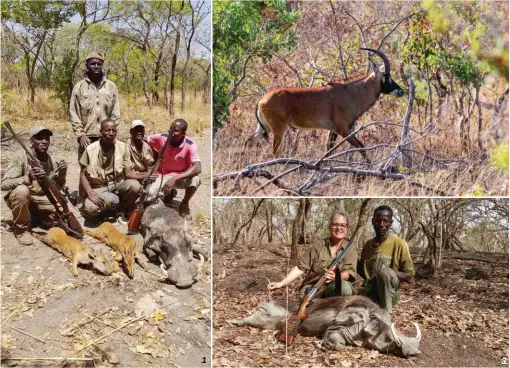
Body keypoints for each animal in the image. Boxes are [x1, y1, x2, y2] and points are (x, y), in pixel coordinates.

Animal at [245, 47, 404, 161]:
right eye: (387, 77)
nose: (401, 91)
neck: (350, 92)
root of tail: (261, 99)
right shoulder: (342, 129)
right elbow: (361, 146)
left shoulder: (333, 130)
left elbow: (328, 151)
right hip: (278, 129)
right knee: (275, 151)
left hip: (264, 127)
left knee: (249, 142)